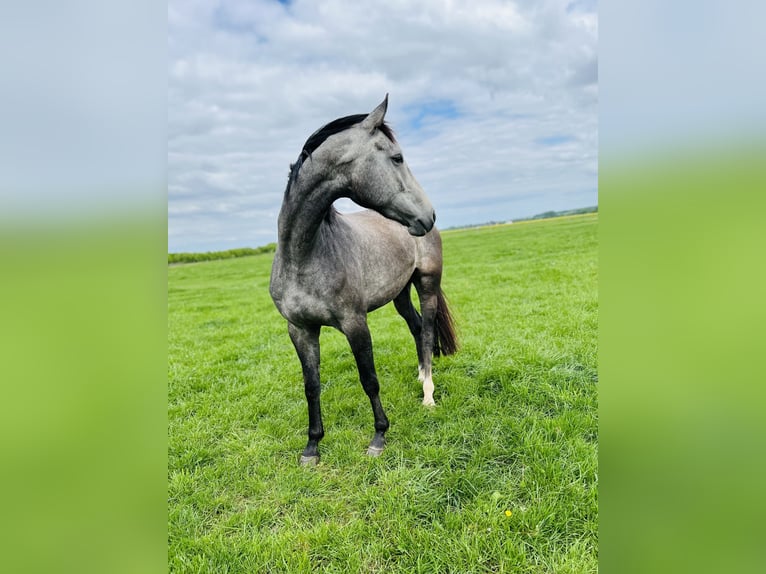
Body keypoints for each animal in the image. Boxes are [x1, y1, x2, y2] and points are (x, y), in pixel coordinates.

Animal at [269, 95, 458, 465]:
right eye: (397, 157)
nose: (428, 215)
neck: (304, 256)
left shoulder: (355, 324)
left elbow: (369, 379)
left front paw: (379, 437)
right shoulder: (299, 329)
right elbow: (311, 385)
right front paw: (312, 447)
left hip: (427, 284)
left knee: (428, 331)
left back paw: (428, 393)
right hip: (400, 293)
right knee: (416, 327)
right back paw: (420, 375)